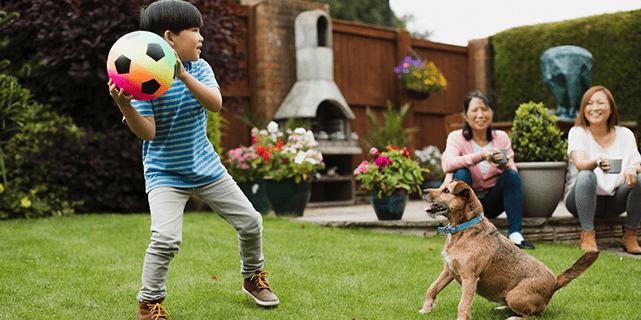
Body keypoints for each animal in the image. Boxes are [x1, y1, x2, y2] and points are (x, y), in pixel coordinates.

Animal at [418, 179, 596, 318]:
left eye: (446, 191)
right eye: (441, 187)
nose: (424, 190)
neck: (465, 229)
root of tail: (555, 282)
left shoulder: (469, 278)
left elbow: (463, 304)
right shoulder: (448, 270)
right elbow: (432, 288)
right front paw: (426, 309)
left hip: (514, 295)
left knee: (530, 316)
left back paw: (512, 316)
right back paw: (503, 307)